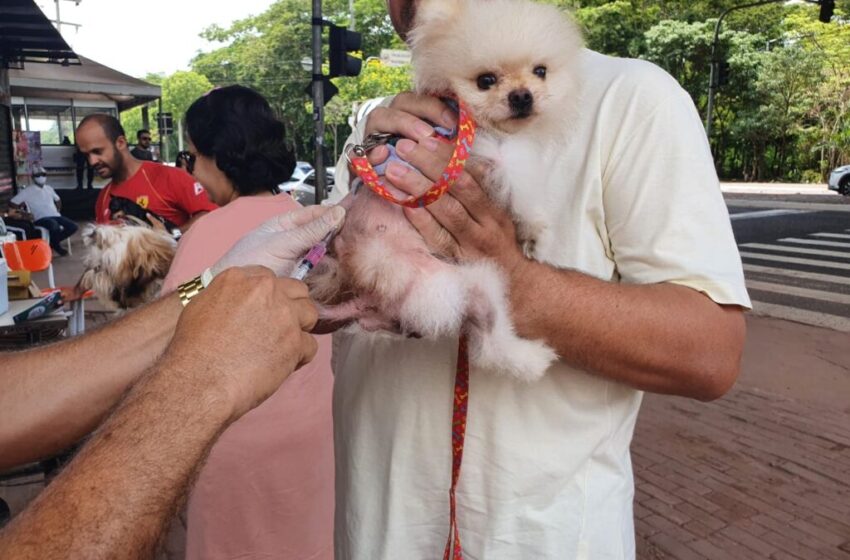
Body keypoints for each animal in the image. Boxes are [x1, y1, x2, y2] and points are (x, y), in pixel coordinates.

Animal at [312, 0, 584, 380]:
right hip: (465, 284)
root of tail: (364, 280)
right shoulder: (495, 155)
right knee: (490, 344)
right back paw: (532, 358)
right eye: (486, 81)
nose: (522, 96)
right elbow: (525, 192)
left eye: (540, 71)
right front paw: (538, 234)